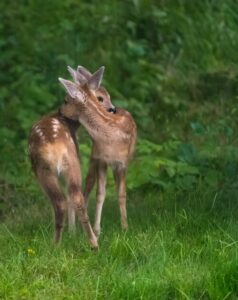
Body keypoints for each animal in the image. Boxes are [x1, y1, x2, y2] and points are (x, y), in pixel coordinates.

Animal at [27, 65, 115, 248]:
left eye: (66, 99)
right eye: (101, 97)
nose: (112, 109)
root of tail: (54, 146)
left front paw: (71, 232)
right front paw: (72, 233)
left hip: (45, 169)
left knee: (61, 201)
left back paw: (56, 244)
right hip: (72, 163)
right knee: (75, 197)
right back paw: (93, 243)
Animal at [65, 65, 137, 237]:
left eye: (68, 100)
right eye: (100, 98)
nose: (112, 109)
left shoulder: (122, 163)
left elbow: (122, 194)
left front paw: (125, 227)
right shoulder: (101, 160)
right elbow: (100, 193)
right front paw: (97, 230)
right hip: (93, 156)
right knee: (88, 184)